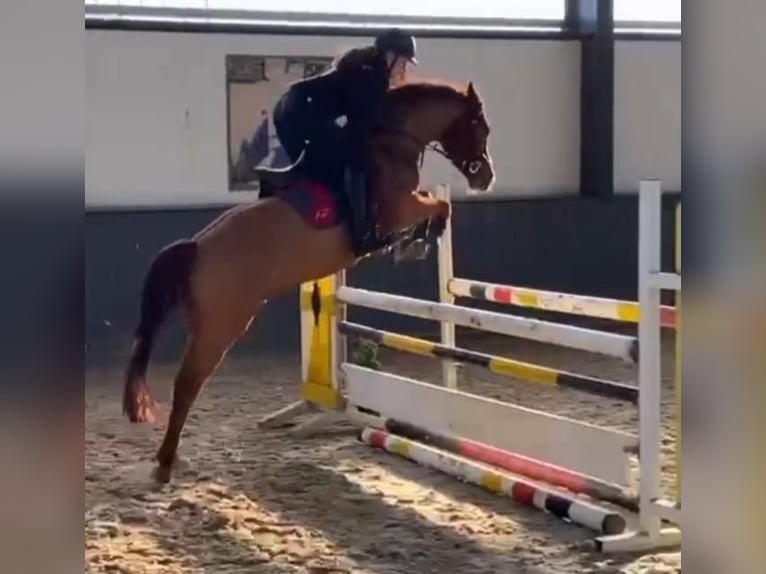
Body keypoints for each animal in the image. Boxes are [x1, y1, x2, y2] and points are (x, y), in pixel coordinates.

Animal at [123, 76, 496, 484]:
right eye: (479, 126)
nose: (486, 177)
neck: (392, 142)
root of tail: (197, 248)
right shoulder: (400, 208)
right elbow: (439, 204)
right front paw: (422, 238)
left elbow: (433, 201)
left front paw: (415, 241)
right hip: (221, 328)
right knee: (187, 384)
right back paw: (165, 462)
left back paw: (170, 460)